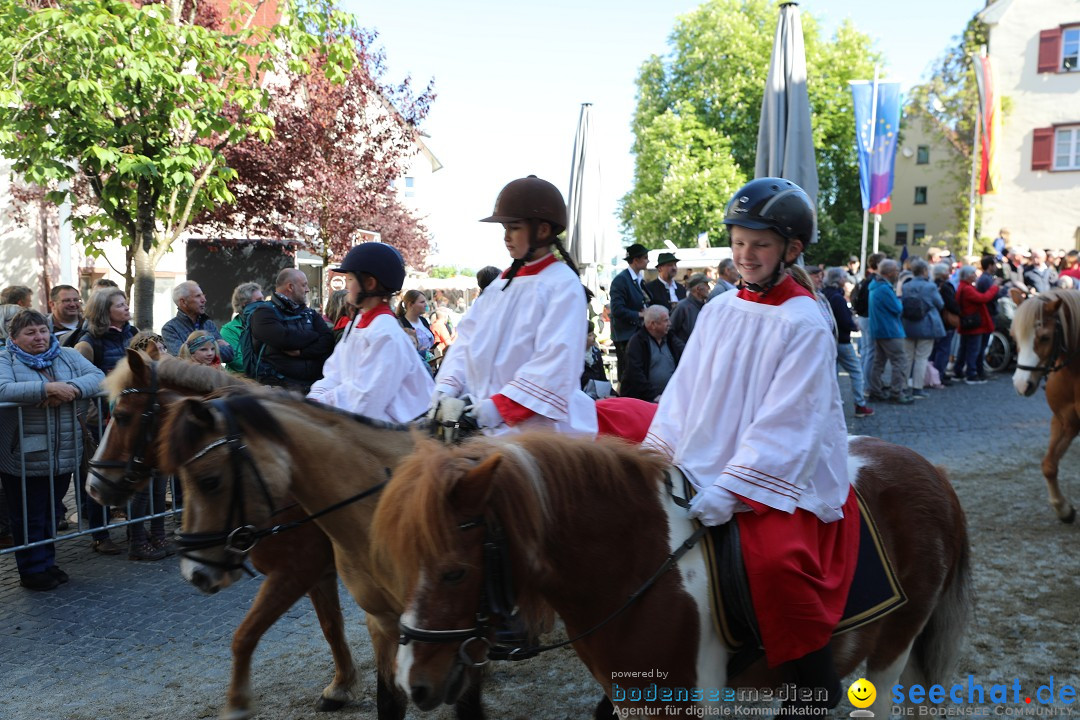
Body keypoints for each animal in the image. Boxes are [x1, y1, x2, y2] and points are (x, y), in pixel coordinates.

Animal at [85, 354, 362, 720]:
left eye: (122, 416)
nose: (93, 485)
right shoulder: (316, 572)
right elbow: (331, 626)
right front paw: (341, 686)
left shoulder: (296, 570)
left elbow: (246, 635)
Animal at [371, 431, 972, 716]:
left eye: (454, 572)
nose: (411, 683)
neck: (639, 570)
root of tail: (934, 474)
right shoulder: (635, 701)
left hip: (895, 642)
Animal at [1010, 289, 1080, 524]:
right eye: (1013, 337)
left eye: (1045, 337)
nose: (1022, 384)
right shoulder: (1064, 421)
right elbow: (1049, 465)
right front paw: (1063, 508)